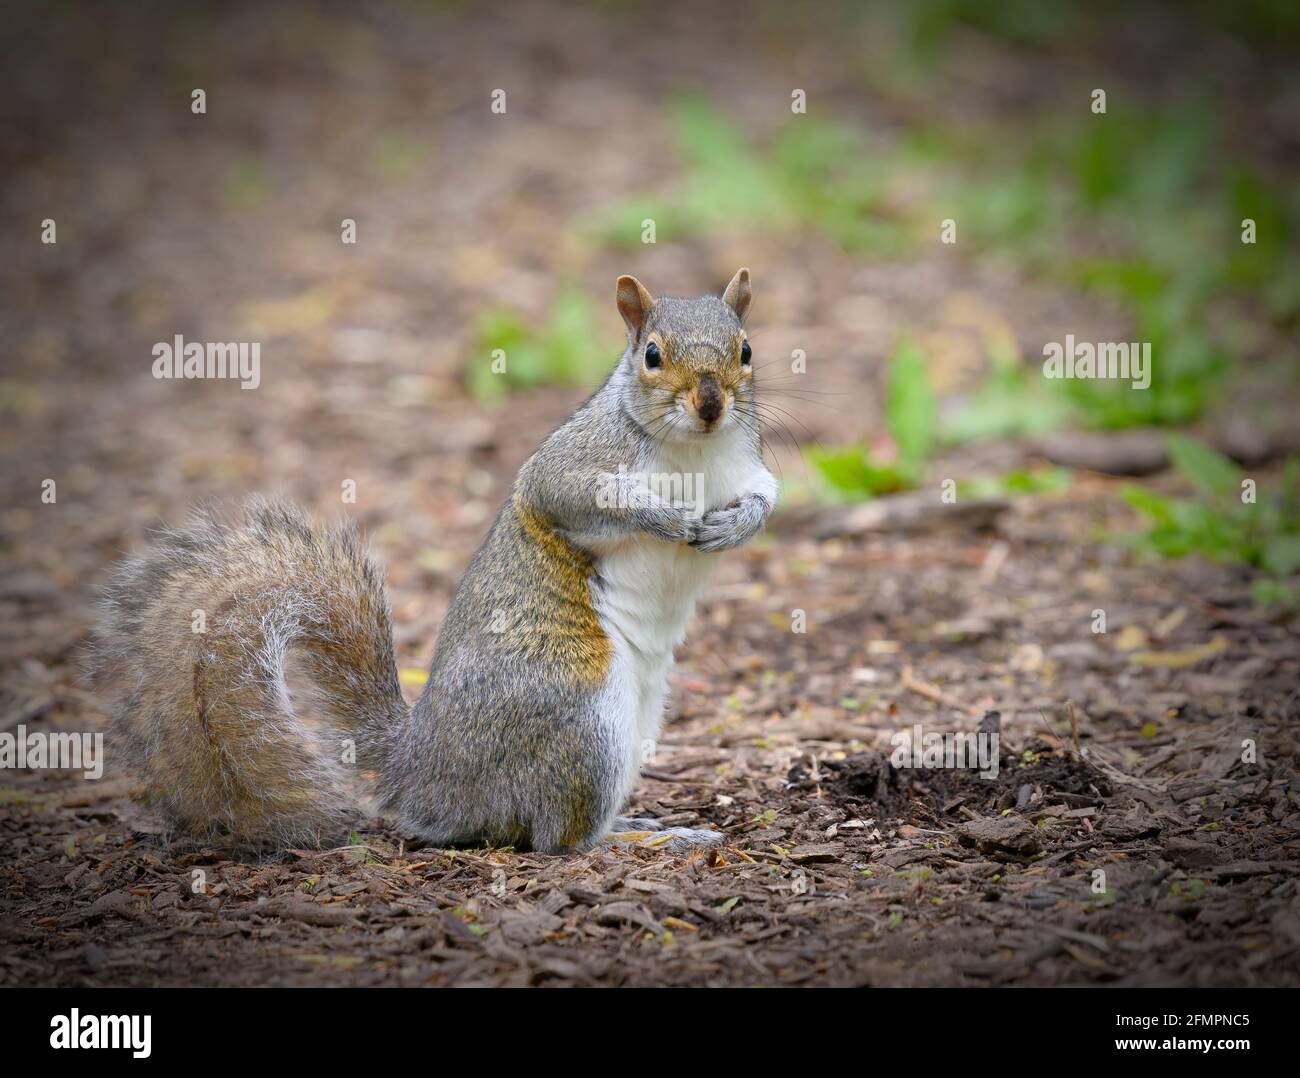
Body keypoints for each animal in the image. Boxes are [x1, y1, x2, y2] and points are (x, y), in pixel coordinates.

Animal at [98, 266, 780, 847]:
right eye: (652, 356)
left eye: (746, 350)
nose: (711, 403)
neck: (694, 451)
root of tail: (423, 769)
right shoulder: (572, 464)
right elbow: (570, 493)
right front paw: (666, 517)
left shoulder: (744, 464)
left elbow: (767, 495)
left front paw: (737, 524)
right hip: (584, 713)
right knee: (556, 837)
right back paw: (638, 838)